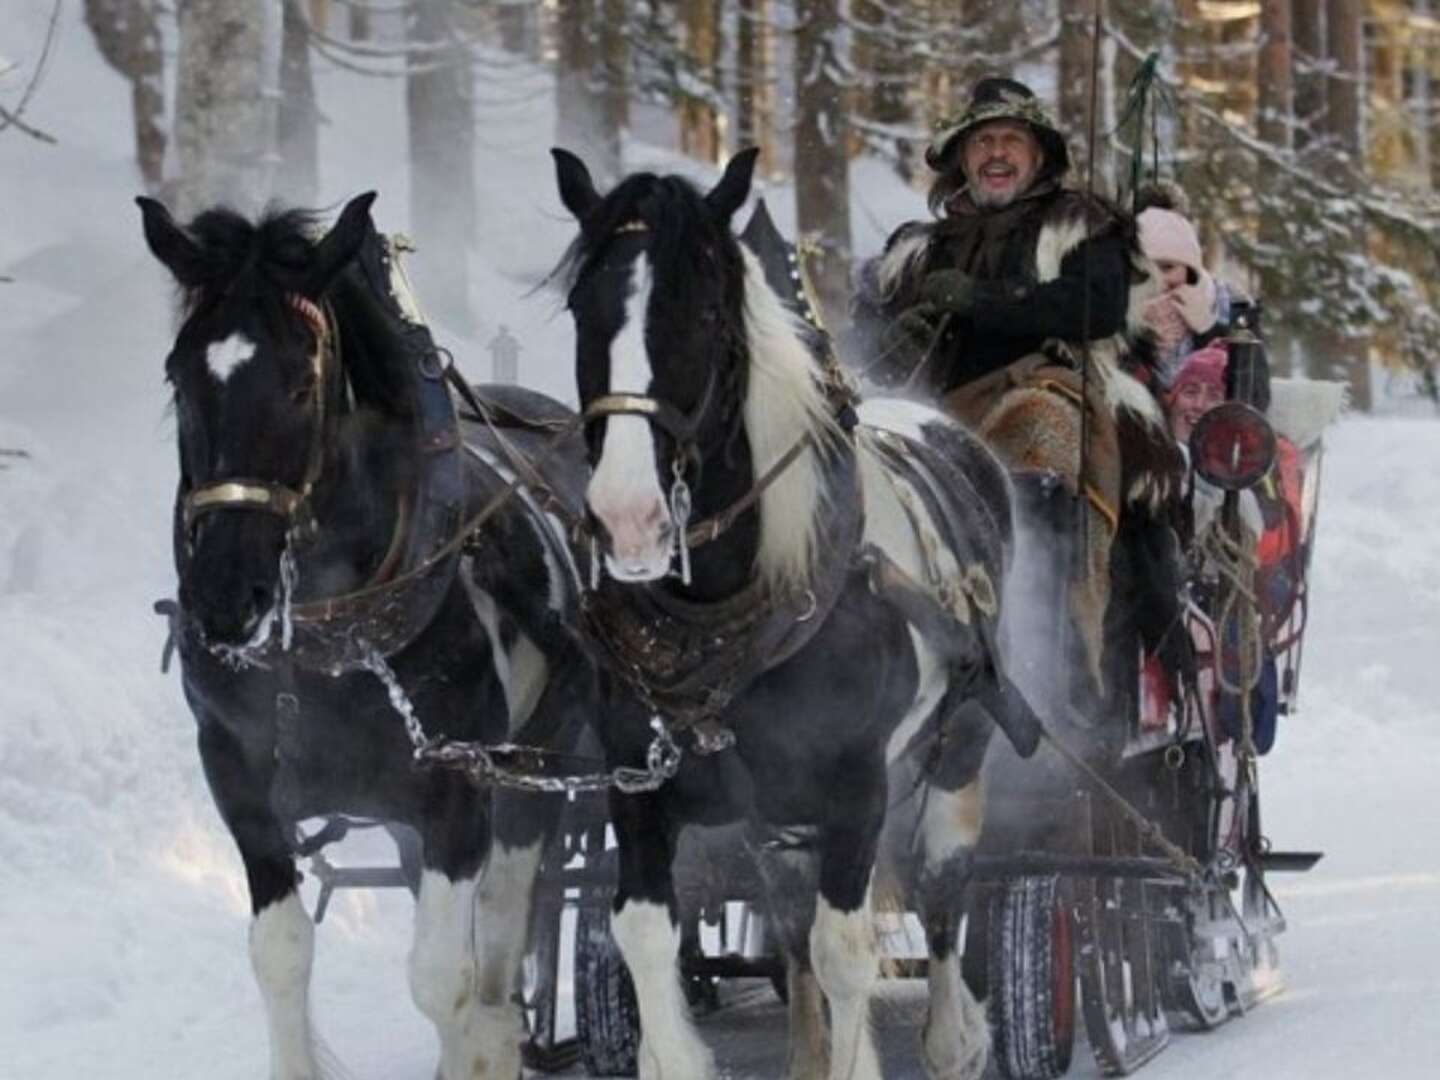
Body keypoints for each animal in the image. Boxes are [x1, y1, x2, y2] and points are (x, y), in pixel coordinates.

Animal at [135, 194, 584, 1080]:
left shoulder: (456, 792)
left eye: (303, 381)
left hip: (538, 766)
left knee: (504, 922)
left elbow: (445, 981)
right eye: (177, 373)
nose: (223, 598)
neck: (325, 642)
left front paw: (480, 1047)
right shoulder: (240, 780)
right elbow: (280, 954)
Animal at [544, 152, 1031, 1080]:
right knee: (792, 922)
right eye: (582, 310)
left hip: (960, 747)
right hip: (773, 819)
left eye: (704, 311)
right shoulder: (637, 787)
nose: (628, 519)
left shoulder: (855, 788)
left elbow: (848, 954)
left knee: (942, 896)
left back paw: (954, 1038)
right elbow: (645, 936)